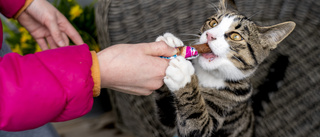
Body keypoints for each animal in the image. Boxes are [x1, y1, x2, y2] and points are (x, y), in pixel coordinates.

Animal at [154, 0, 296, 136]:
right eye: (213, 23)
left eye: (236, 36)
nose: (209, 35)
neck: (208, 75)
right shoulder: (168, 124)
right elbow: (166, 115)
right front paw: (169, 42)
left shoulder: (231, 103)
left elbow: (197, 125)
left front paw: (183, 76)